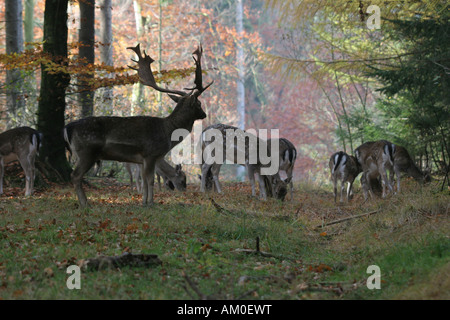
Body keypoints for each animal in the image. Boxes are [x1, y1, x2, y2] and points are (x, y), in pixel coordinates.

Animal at [63, 43, 213, 208]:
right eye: (199, 104)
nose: (204, 114)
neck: (167, 131)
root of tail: (67, 128)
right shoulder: (150, 153)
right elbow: (150, 180)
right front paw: (151, 203)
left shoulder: (142, 159)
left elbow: (144, 180)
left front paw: (144, 201)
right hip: (86, 151)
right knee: (75, 175)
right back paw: (85, 203)